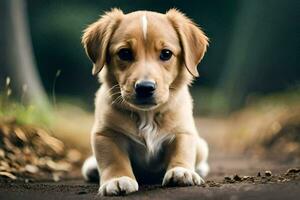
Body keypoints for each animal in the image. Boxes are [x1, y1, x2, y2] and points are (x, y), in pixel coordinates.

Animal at [81, 8, 210, 196]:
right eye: (124, 53)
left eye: (166, 54)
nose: (145, 87)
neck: (147, 115)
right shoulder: (106, 134)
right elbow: (114, 159)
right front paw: (118, 179)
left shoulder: (183, 131)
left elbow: (182, 150)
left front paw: (181, 171)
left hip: (201, 146)